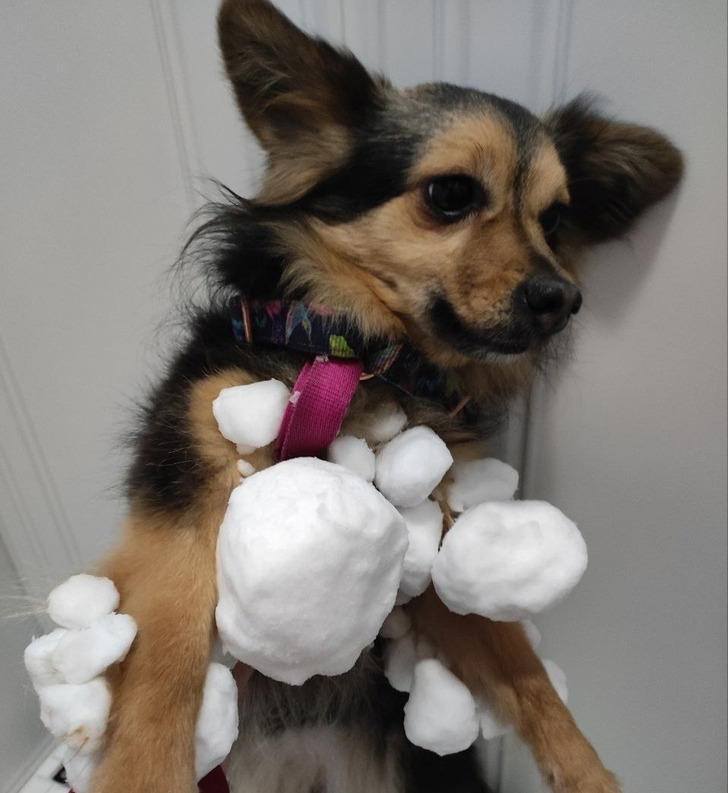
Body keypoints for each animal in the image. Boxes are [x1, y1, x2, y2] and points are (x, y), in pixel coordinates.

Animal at [87, 1, 682, 791]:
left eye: (555, 219)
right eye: (451, 194)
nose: (564, 299)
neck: (363, 358)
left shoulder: (434, 554)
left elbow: (527, 676)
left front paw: (589, 773)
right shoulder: (184, 492)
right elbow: (166, 669)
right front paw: (143, 773)